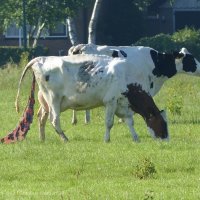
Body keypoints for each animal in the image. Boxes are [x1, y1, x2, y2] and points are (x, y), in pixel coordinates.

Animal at [15, 54, 169, 142]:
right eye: (162, 123)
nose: (166, 139)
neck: (127, 76)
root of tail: (41, 58)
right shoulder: (111, 101)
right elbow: (109, 123)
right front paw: (107, 139)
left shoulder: (123, 104)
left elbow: (130, 121)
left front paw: (136, 138)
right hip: (54, 99)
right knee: (54, 120)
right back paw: (65, 138)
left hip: (46, 101)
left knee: (41, 117)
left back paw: (42, 139)